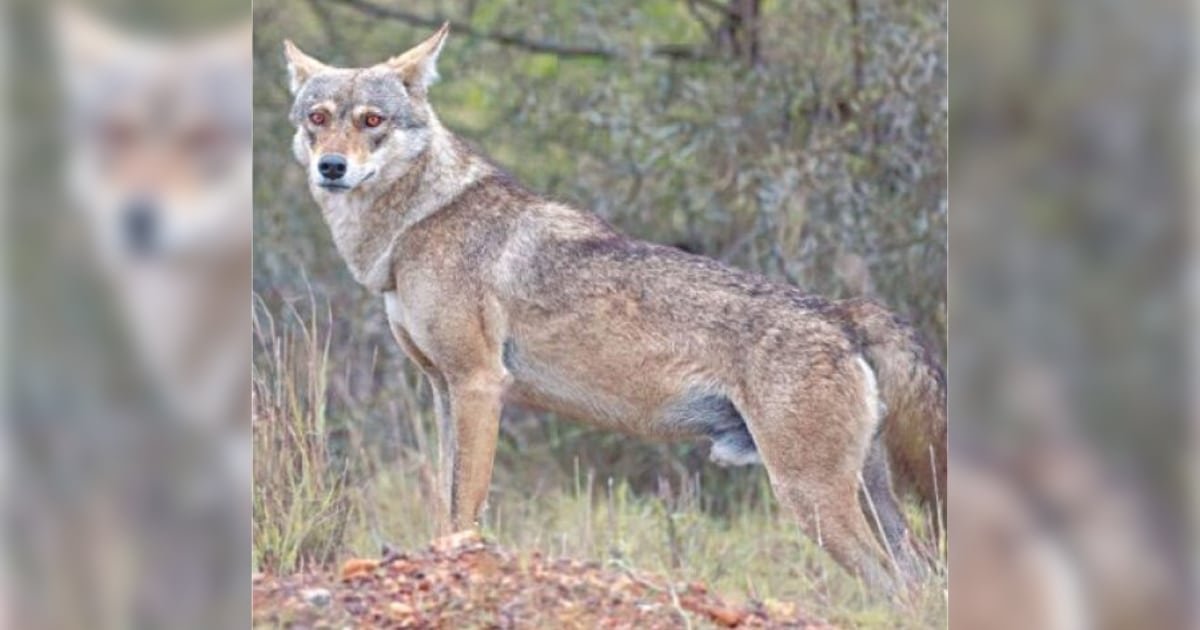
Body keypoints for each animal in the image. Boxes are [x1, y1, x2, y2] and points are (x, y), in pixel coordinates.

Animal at [284, 25, 945, 592]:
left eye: (372, 120)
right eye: (318, 119)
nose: (331, 167)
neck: (413, 225)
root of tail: (843, 312)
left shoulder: (477, 384)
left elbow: (465, 507)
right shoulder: (443, 389)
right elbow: (446, 505)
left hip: (810, 500)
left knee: (896, 582)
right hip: (861, 497)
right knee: (918, 578)